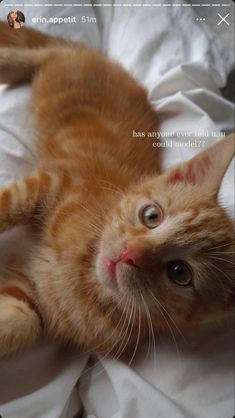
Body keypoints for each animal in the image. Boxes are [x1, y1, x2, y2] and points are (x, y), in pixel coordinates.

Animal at [0, 22, 233, 358]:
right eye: (152, 216)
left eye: (179, 273)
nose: (128, 253)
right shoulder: (55, 180)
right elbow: (10, 203)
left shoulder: (36, 296)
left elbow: (20, 321)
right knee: (48, 50)